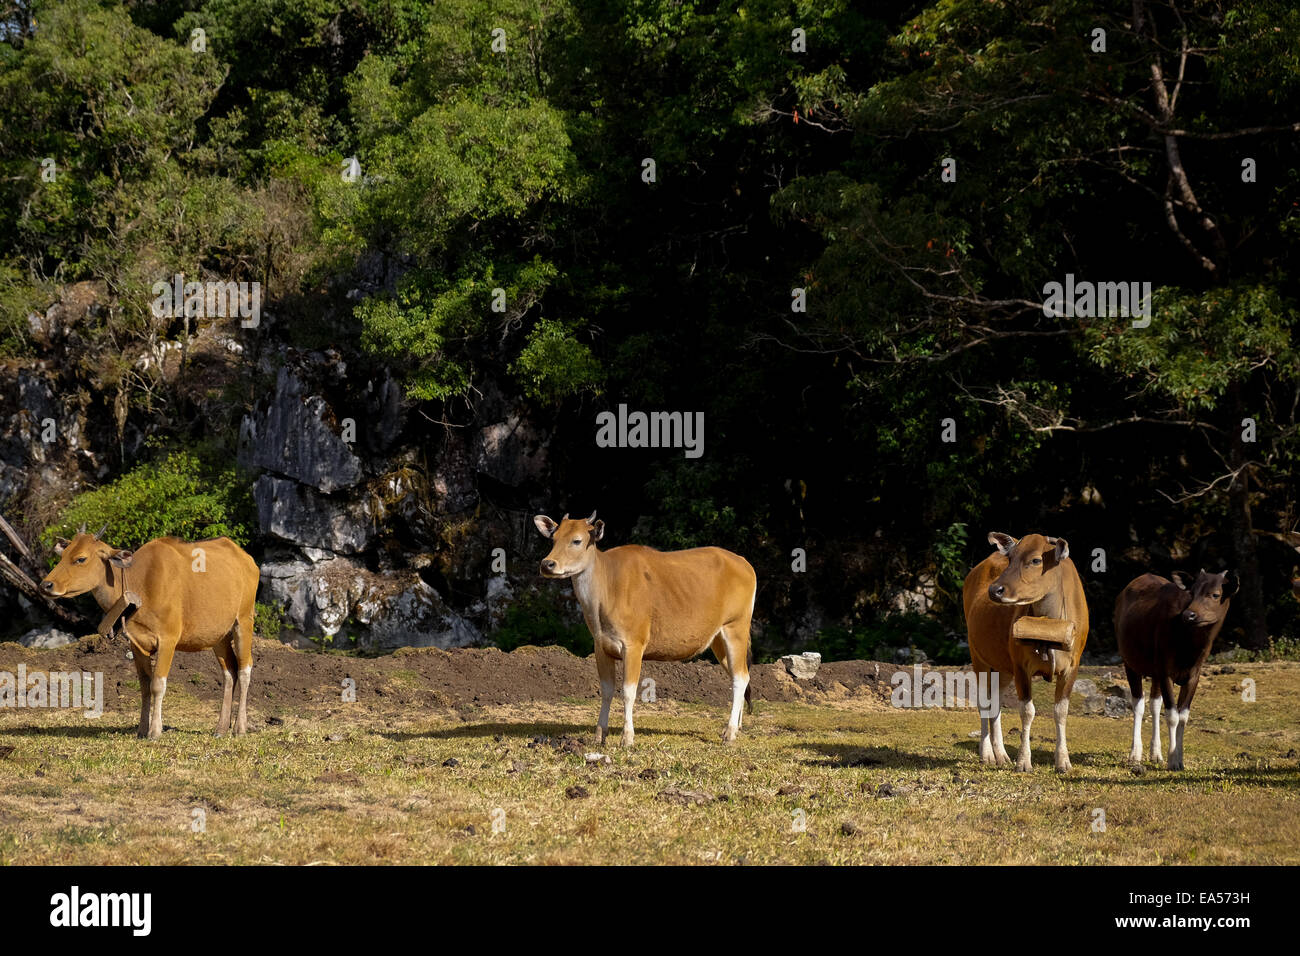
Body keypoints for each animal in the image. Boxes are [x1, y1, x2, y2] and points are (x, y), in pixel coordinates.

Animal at [41, 530, 258, 738]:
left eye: (81, 558)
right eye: (63, 555)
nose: (46, 585)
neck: (141, 583)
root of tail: (247, 559)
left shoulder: (168, 640)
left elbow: (157, 685)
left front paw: (155, 731)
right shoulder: (136, 644)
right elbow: (145, 686)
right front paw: (142, 729)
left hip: (243, 622)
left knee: (244, 669)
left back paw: (239, 728)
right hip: (219, 636)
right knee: (230, 672)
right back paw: (221, 728)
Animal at [533, 515, 759, 749]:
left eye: (577, 540)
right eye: (553, 539)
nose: (547, 564)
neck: (607, 588)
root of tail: (744, 563)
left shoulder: (633, 645)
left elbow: (628, 692)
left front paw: (627, 737)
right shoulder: (601, 647)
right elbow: (606, 691)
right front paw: (600, 734)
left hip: (736, 628)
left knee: (740, 678)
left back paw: (730, 732)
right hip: (718, 639)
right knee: (740, 676)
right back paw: (737, 727)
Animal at [967, 535, 1086, 775]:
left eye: (1036, 560)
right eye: (1010, 558)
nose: (995, 590)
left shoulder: (1072, 667)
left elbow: (1061, 711)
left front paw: (1063, 761)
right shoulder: (1021, 666)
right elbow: (1027, 711)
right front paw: (1023, 761)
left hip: (1002, 667)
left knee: (996, 702)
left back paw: (1001, 754)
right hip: (978, 656)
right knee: (984, 701)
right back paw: (987, 754)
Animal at [1112, 567, 1232, 770]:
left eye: (1216, 594)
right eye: (1192, 592)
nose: (1189, 615)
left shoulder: (1193, 676)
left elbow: (1183, 716)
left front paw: (1178, 758)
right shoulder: (1165, 671)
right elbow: (1172, 715)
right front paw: (1173, 761)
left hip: (1154, 672)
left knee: (1154, 703)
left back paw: (1155, 754)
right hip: (1130, 663)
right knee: (1138, 704)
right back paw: (1135, 754)